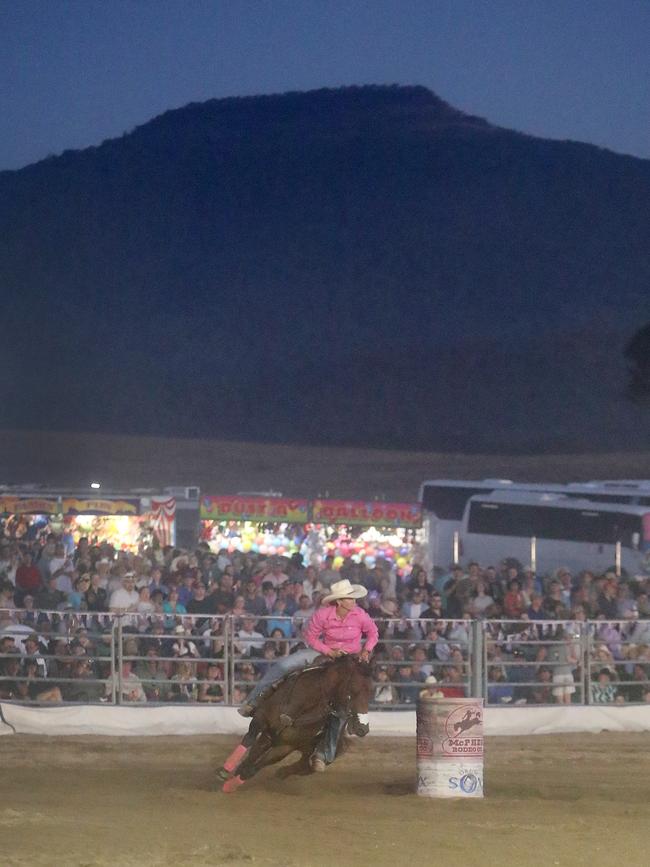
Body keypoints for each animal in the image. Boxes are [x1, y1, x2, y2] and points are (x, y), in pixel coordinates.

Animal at [218, 656, 370, 792]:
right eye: (355, 689)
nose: (363, 728)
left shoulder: (285, 746)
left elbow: (253, 768)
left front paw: (229, 786)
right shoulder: (261, 719)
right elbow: (248, 740)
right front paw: (225, 771)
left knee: (304, 766)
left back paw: (283, 772)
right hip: (270, 737)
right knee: (255, 753)